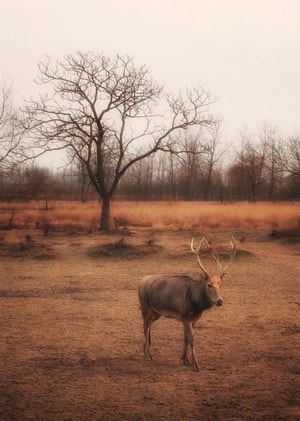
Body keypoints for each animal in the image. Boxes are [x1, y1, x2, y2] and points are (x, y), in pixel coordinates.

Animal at [138, 236, 237, 370]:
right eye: (209, 285)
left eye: (220, 284)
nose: (219, 301)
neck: (196, 304)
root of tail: (140, 282)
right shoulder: (185, 317)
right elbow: (191, 339)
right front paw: (196, 364)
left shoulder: (192, 319)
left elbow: (185, 338)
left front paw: (185, 360)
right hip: (145, 307)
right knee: (144, 327)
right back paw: (148, 355)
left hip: (156, 312)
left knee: (148, 326)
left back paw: (145, 352)